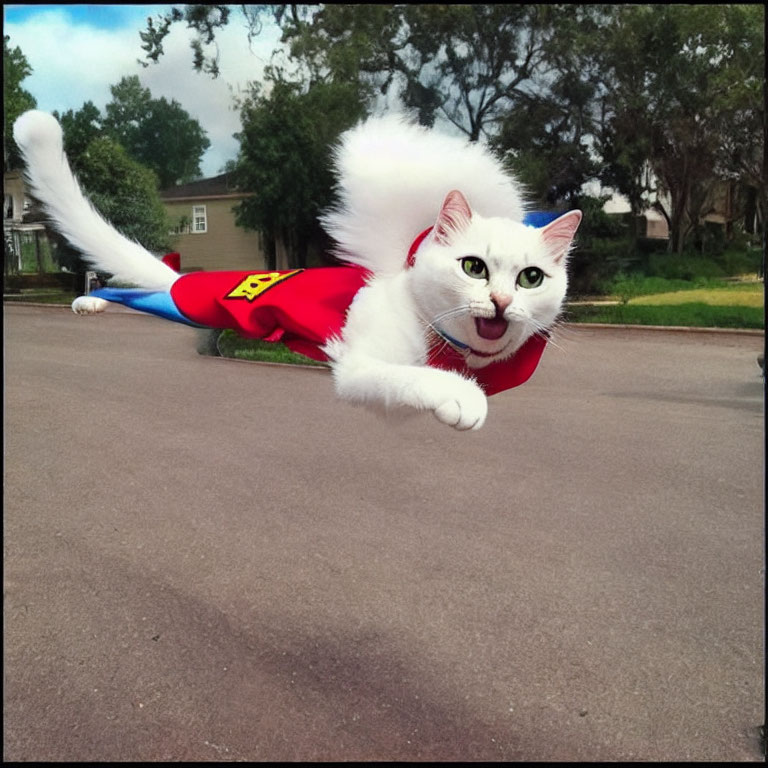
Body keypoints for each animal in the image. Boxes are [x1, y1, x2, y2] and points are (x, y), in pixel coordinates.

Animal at [13, 109, 584, 432]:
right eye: (473, 267)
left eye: (531, 278)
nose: (502, 302)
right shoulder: (361, 368)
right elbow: (417, 378)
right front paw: (461, 397)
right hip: (192, 301)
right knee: (144, 289)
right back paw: (89, 300)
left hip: (191, 305)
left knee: (143, 292)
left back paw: (92, 302)